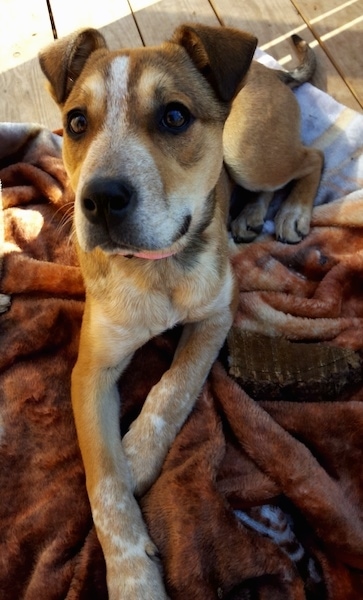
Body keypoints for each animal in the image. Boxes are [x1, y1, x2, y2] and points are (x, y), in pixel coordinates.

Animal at [39, 24, 324, 600]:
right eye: (76, 123)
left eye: (174, 116)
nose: (100, 200)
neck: (158, 268)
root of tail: (264, 69)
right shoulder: (90, 371)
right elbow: (103, 485)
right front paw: (132, 579)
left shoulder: (218, 315)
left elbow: (173, 386)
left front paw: (137, 457)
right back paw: (250, 217)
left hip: (250, 151)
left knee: (310, 158)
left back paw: (292, 210)